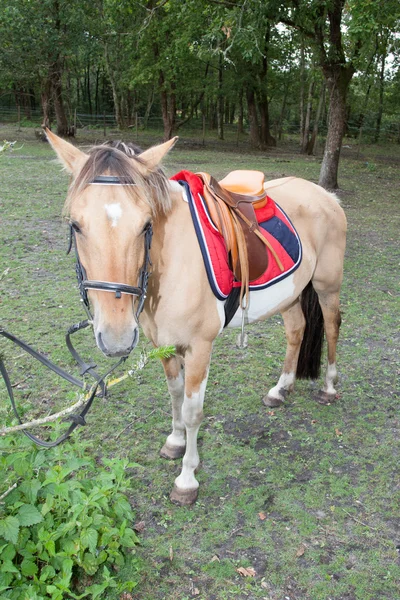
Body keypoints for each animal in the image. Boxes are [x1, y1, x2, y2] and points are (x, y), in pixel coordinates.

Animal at [46, 130, 346, 506]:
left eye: (146, 224)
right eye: (76, 224)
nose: (116, 338)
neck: (171, 261)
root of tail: (326, 195)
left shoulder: (200, 346)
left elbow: (192, 412)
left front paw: (187, 479)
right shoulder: (163, 344)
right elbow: (174, 395)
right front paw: (174, 442)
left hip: (326, 285)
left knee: (332, 327)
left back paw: (330, 387)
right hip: (290, 293)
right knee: (297, 331)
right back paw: (281, 389)